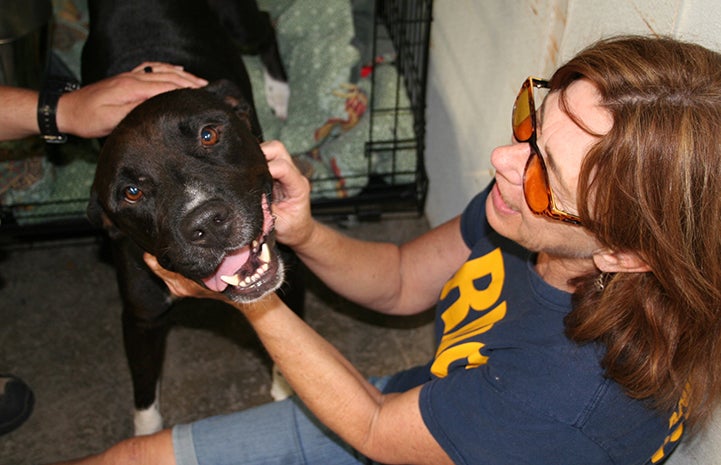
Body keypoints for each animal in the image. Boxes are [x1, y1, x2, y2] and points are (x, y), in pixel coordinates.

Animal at [82, 0, 300, 436]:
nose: (207, 223)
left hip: (241, 22)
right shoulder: (140, 319)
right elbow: (144, 392)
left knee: (266, 25)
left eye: (209, 135)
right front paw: (146, 439)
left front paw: (285, 388)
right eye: (131, 193)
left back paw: (279, 93)